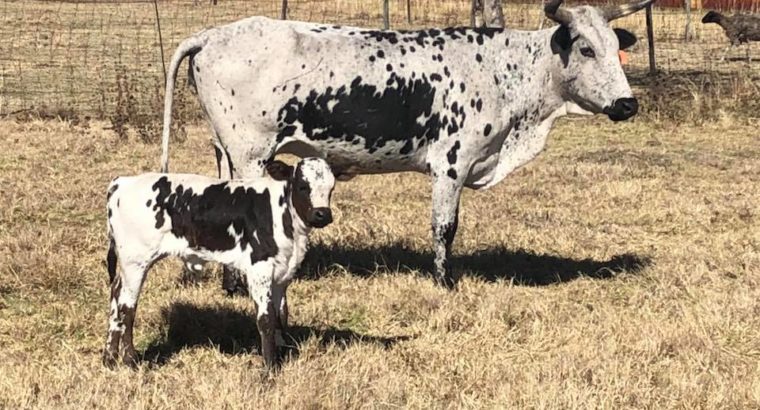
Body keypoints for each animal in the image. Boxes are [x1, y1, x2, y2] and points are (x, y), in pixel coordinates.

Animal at [102, 158, 336, 369]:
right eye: (303, 186)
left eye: (331, 188)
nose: (322, 214)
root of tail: (122, 183)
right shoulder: (259, 270)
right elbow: (266, 319)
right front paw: (270, 368)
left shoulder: (282, 273)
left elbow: (282, 315)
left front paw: (283, 352)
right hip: (135, 261)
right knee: (127, 307)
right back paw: (130, 360)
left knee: (115, 294)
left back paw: (110, 357)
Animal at [159, 0, 653, 290]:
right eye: (586, 49)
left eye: (616, 46)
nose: (627, 104)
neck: (503, 69)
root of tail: (215, 34)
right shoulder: (452, 164)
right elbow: (444, 227)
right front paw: (445, 283)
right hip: (250, 155)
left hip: (226, 152)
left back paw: (229, 285)